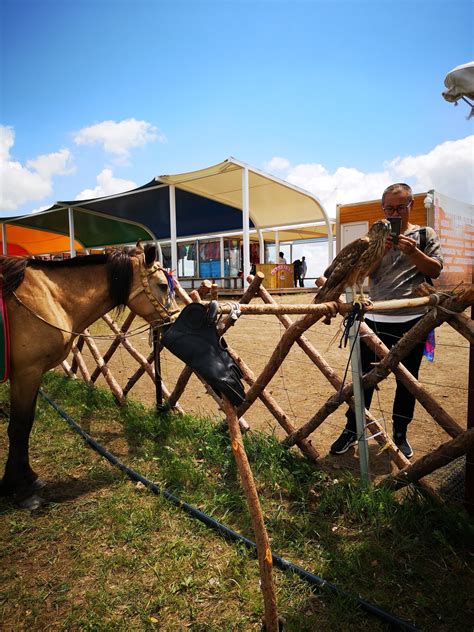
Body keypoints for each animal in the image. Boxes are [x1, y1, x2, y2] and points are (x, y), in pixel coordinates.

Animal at [0, 243, 179, 508]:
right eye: (163, 285)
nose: (172, 321)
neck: (50, 297)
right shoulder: (26, 372)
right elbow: (19, 427)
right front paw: (18, 488)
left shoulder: (32, 376)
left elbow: (27, 424)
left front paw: (28, 478)